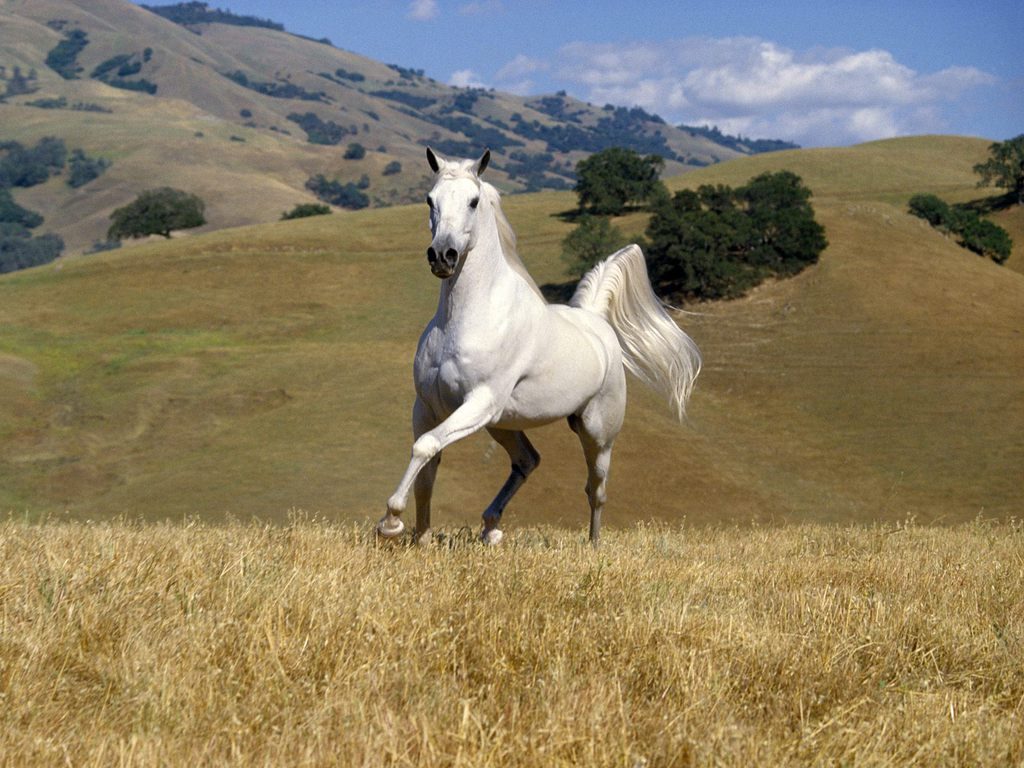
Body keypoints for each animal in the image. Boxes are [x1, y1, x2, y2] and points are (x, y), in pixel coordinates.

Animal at [377, 147, 701, 545]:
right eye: (429, 200)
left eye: (473, 201)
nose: (442, 255)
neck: (465, 318)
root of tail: (595, 321)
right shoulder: (428, 406)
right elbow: (427, 465)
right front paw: (419, 538)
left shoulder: (479, 401)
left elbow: (425, 447)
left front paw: (391, 523)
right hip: (501, 423)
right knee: (528, 460)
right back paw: (490, 528)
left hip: (596, 432)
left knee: (596, 490)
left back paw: (592, 546)